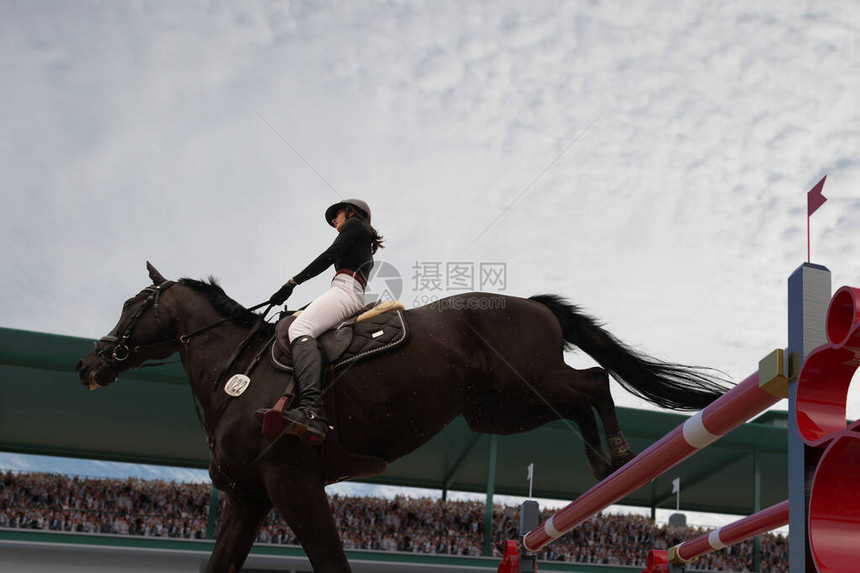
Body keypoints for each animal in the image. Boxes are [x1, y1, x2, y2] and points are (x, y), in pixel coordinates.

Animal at [77, 264, 728, 572]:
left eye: (132, 306)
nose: (89, 363)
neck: (237, 374)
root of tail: (529, 303)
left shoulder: (292, 481)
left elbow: (332, 563)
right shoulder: (249, 499)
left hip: (526, 383)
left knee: (592, 383)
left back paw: (618, 455)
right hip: (500, 410)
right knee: (576, 401)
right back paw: (602, 464)